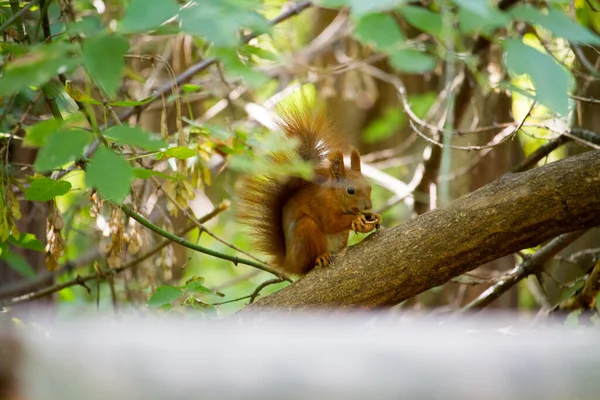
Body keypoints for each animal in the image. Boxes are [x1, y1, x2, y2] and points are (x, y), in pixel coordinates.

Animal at [238, 104, 382, 276]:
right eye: (350, 190)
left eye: (369, 187)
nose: (367, 206)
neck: (333, 196)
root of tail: (290, 264)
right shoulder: (321, 205)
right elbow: (331, 223)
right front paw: (355, 220)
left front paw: (373, 216)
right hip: (305, 232)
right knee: (307, 264)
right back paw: (321, 257)